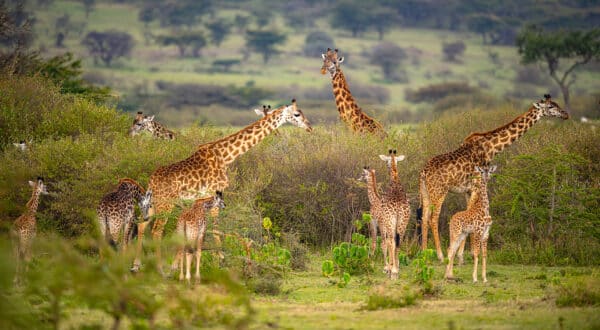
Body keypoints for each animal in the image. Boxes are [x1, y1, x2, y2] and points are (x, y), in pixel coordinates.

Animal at [133, 99, 312, 272]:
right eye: (297, 114)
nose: (309, 127)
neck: (226, 156)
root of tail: (152, 181)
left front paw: (184, 262)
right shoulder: (214, 194)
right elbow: (215, 229)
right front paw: (220, 260)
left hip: (154, 203)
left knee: (142, 225)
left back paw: (136, 264)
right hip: (166, 204)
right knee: (156, 231)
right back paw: (159, 267)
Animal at [418, 94, 568, 262]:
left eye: (556, 104)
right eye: (550, 107)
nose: (565, 114)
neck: (491, 149)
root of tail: (423, 172)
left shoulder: (467, 190)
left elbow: (468, 212)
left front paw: (463, 253)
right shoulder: (478, 185)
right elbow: (471, 214)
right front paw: (466, 254)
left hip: (426, 192)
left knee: (424, 218)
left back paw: (424, 252)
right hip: (439, 192)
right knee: (433, 219)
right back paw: (440, 255)